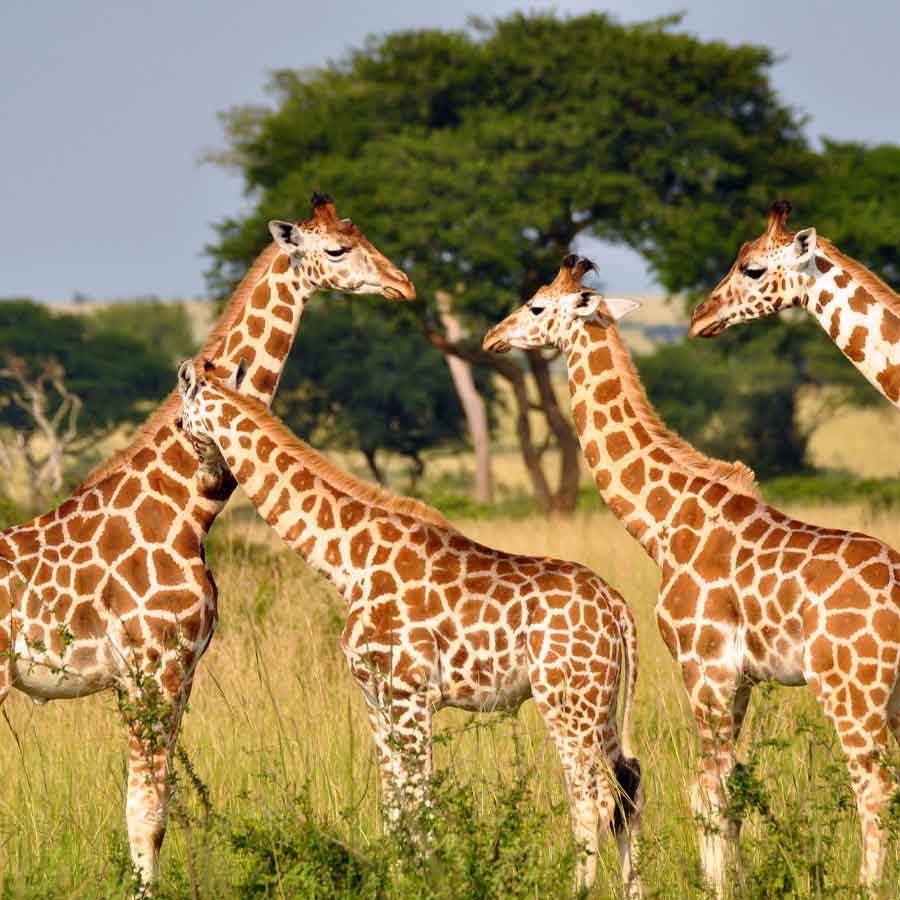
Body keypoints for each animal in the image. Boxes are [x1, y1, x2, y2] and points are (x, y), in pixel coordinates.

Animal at [0, 193, 413, 891]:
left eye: (362, 232)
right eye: (336, 249)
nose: (403, 284)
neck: (188, 507)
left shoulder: (181, 670)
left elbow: (156, 807)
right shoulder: (151, 667)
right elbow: (146, 813)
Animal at [175, 361, 645, 897]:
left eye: (182, 424)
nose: (207, 481)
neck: (346, 560)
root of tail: (615, 603)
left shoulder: (411, 694)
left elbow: (420, 804)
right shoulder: (376, 697)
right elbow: (394, 806)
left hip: (567, 701)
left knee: (593, 799)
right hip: (600, 702)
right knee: (628, 787)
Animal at [484, 254, 900, 894]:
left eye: (535, 305)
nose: (491, 338)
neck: (663, 522)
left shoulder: (703, 667)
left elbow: (707, 791)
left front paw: (716, 886)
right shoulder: (740, 679)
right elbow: (730, 791)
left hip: (852, 691)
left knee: (874, 787)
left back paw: (867, 887)